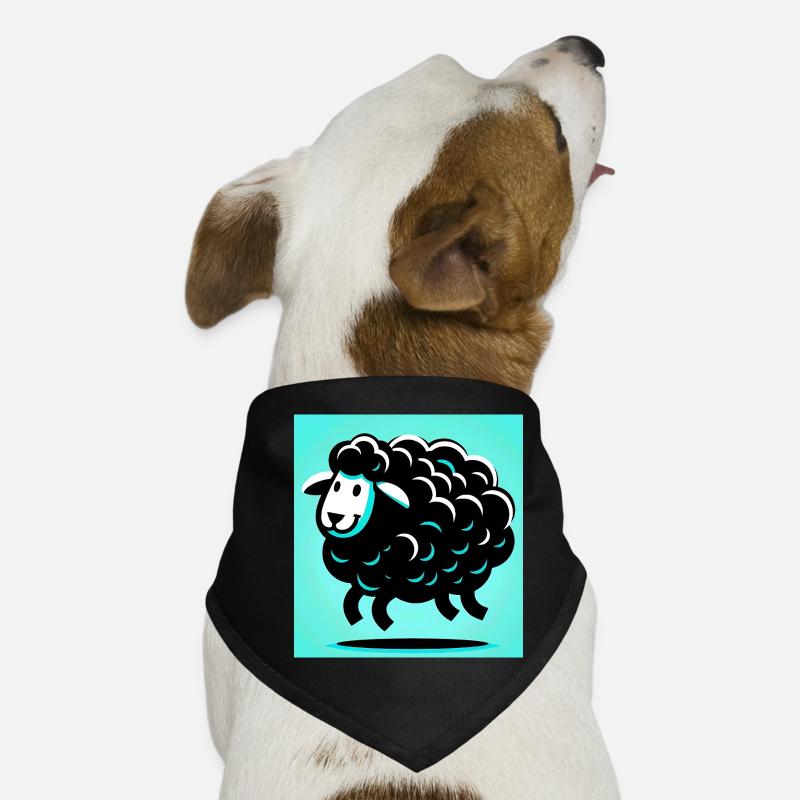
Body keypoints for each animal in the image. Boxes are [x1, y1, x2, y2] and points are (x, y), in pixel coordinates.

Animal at [302, 432, 515, 630]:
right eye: (336, 486)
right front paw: (360, 617)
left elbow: (377, 603)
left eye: (357, 490)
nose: (334, 517)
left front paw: (381, 621)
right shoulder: (375, 578)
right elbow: (359, 597)